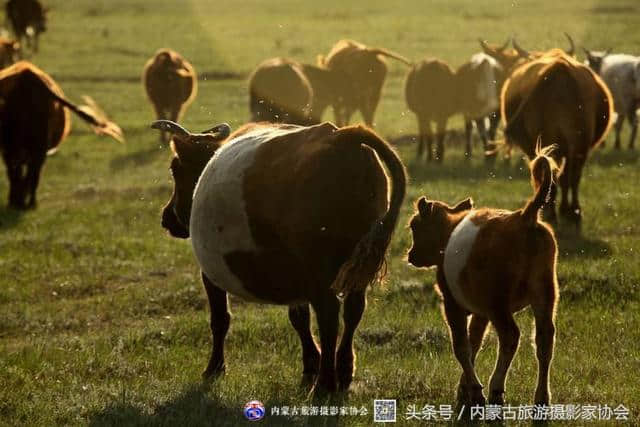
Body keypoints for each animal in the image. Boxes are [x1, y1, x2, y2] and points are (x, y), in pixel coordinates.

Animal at [0, 61, 124, 211]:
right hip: (31, 147)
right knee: (28, 173)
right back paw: (26, 202)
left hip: (26, 147)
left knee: (26, 173)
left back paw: (24, 202)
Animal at [153, 118, 408, 392]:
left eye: (175, 169)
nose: (166, 217)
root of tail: (344, 137)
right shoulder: (297, 277)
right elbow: (299, 318)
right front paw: (310, 364)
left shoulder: (210, 274)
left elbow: (220, 319)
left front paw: (214, 368)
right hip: (354, 269)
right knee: (353, 311)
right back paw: (343, 371)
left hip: (319, 269)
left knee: (329, 317)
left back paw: (325, 386)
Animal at [410, 146, 560, 412]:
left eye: (414, 226)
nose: (411, 255)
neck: (448, 233)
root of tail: (524, 216)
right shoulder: (480, 311)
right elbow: (474, 342)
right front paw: (464, 389)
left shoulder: (453, 304)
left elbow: (461, 346)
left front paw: (474, 391)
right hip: (544, 292)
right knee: (544, 338)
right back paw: (542, 397)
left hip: (498, 303)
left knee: (510, 336)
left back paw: (496, 389)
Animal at [498, 48, 612, 226]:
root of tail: (557, 69)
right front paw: (571, 210)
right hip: (575, 144)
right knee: (569, 176)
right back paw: (567, 210)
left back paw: (555, 211)